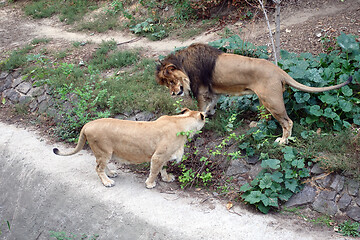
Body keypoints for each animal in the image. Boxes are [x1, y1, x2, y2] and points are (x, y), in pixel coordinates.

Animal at [52, 108, 205, 188]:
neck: (181, 121)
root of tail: (87, 124)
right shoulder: (158, 156)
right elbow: (155, 171)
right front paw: (150, 184)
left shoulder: (165, 155)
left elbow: (164, 168)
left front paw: (167, 178)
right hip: (104, 151)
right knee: (98, 168)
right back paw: (107, 182)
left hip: (104, 153)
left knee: (100, 165)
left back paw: (111, 173)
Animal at [156, 42, 352, 144]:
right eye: (167, 84)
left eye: (171, 81)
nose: (173, 94)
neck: (183, 63)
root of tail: (278, 70)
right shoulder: (212, 92)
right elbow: (210, 106)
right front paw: (209, 116)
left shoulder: (201, 90)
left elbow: (200, 109)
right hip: (265, 100)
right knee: (268, 118)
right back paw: (256, 126)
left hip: (272, 101)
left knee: (287, 122)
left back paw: (283, 141)